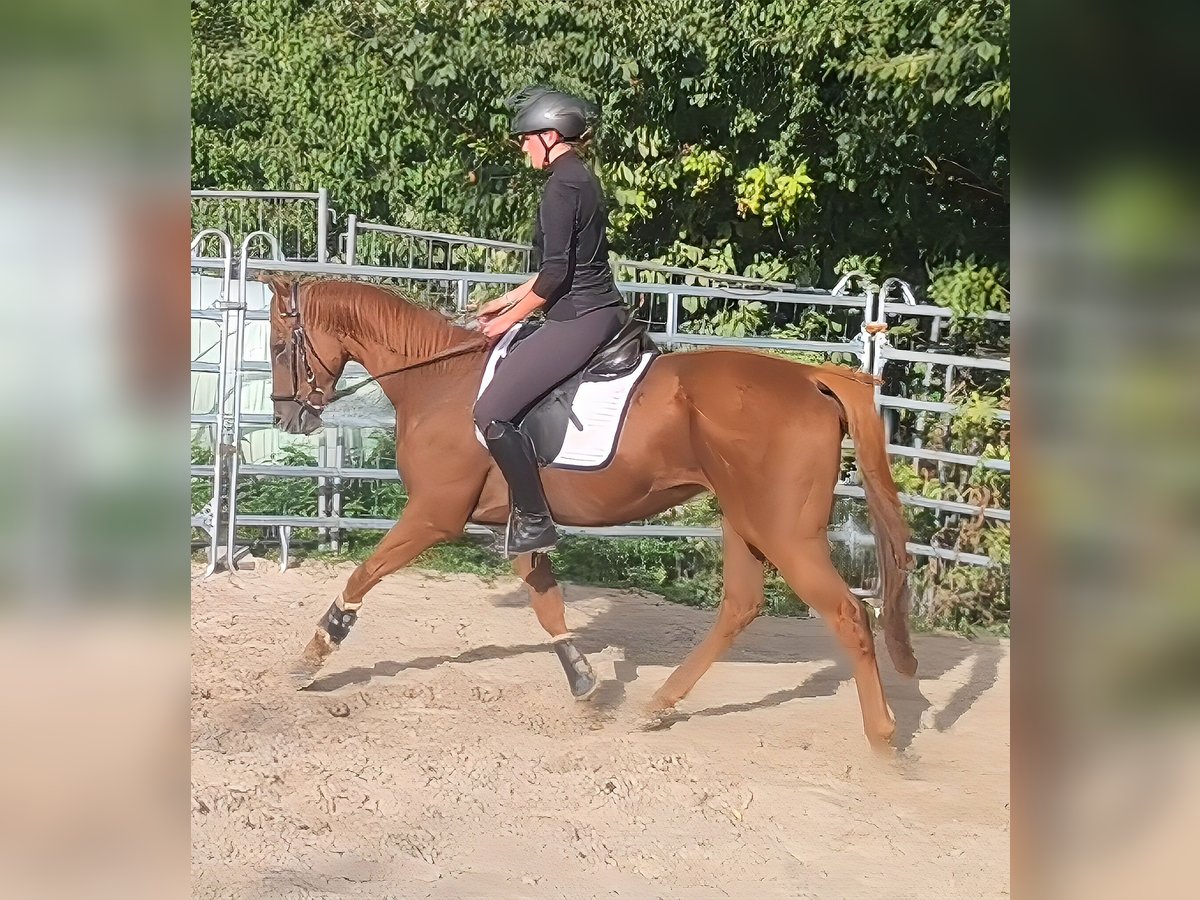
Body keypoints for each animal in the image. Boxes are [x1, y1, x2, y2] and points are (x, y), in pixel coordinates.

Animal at [262, 275, 917, 747]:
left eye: (276, 345)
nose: (287, 418)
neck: (439, 383)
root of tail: (811, 377)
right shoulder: (518, 524)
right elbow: (547, 602)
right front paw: (584, 685)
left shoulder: (432, 515)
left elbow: (364, 574)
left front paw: (314, 654)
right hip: (746, 521)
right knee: (741, 605)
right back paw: (659, 705)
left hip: (784, 530)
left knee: (847, 615)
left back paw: (883, 738)